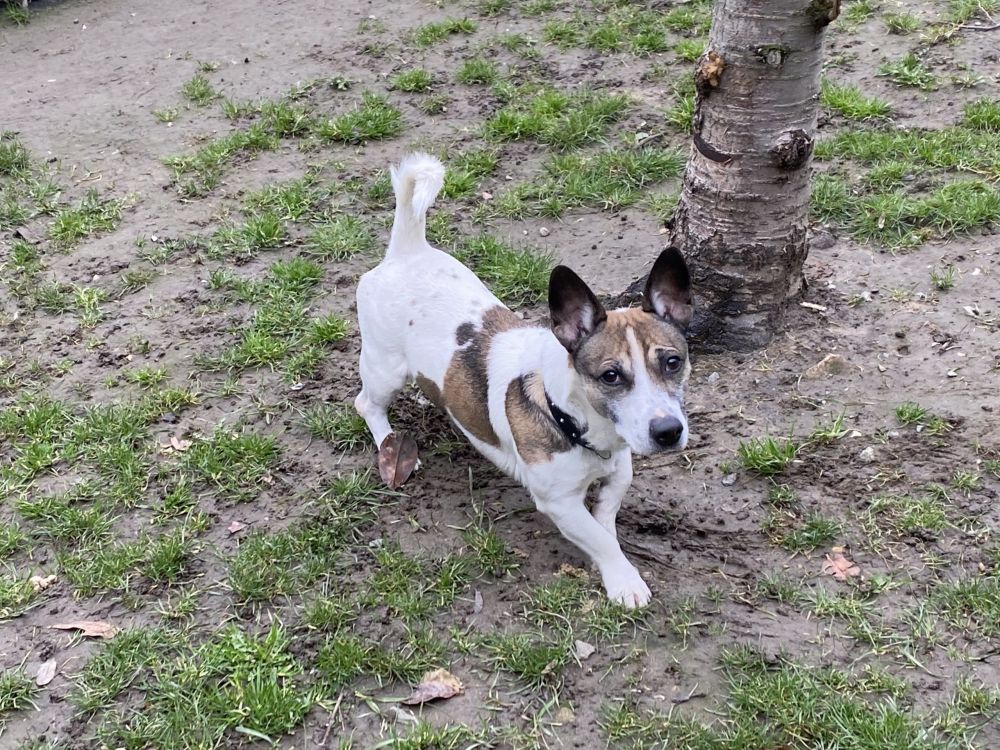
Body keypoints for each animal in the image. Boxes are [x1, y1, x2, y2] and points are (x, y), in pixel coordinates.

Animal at [355, 153, 693, 607]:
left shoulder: (619, 466)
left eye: (673, 362)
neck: (576, 423)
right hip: (385, 370)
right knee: (367, 403)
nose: (668, 431)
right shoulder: (558, 502)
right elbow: (600, 538)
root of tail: (406, 250)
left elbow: (607, 514)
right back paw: (388, 440)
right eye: (610, 375)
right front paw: (623, 578)